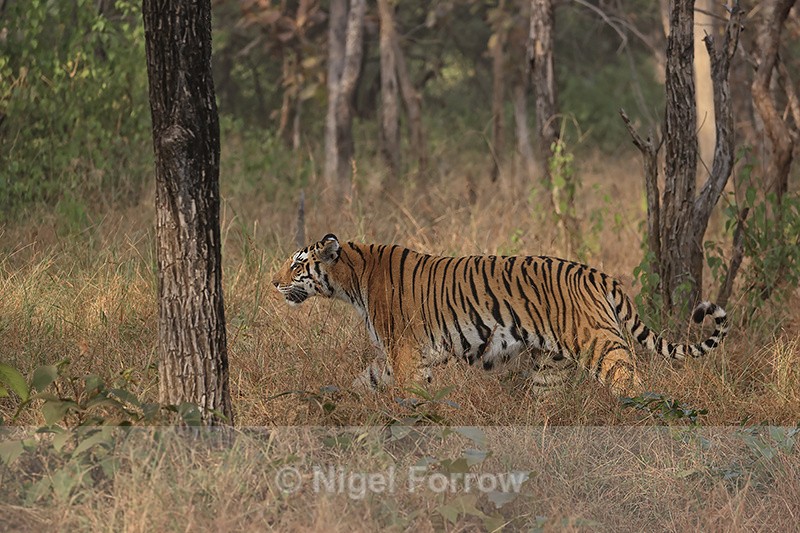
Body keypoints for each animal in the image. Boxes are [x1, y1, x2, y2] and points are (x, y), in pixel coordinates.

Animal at [271, 234, 729, 396]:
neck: (352, 280)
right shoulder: (401, 356)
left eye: (296, 265)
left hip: (600, 345)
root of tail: (596, 273)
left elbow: (408, 395)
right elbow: (364, 380)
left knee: (632, 383)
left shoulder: (405, 353)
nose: (273, 283)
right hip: (550, 365)